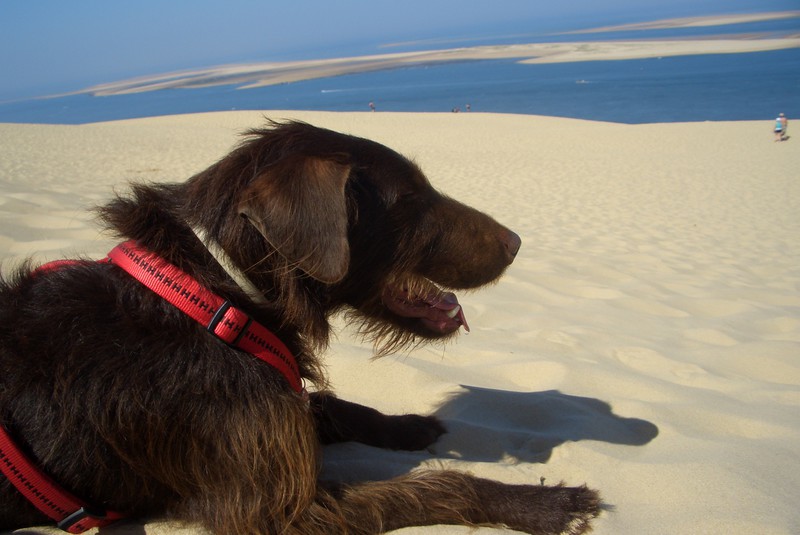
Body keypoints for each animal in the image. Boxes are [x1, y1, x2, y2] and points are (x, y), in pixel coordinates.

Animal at [0, 121, 599, 534]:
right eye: (409, 199)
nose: (517, 243)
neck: (224, 290)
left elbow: (332, 406)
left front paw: (406, 426)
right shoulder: (280, 512)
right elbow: (439, 486)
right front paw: (541, 504)